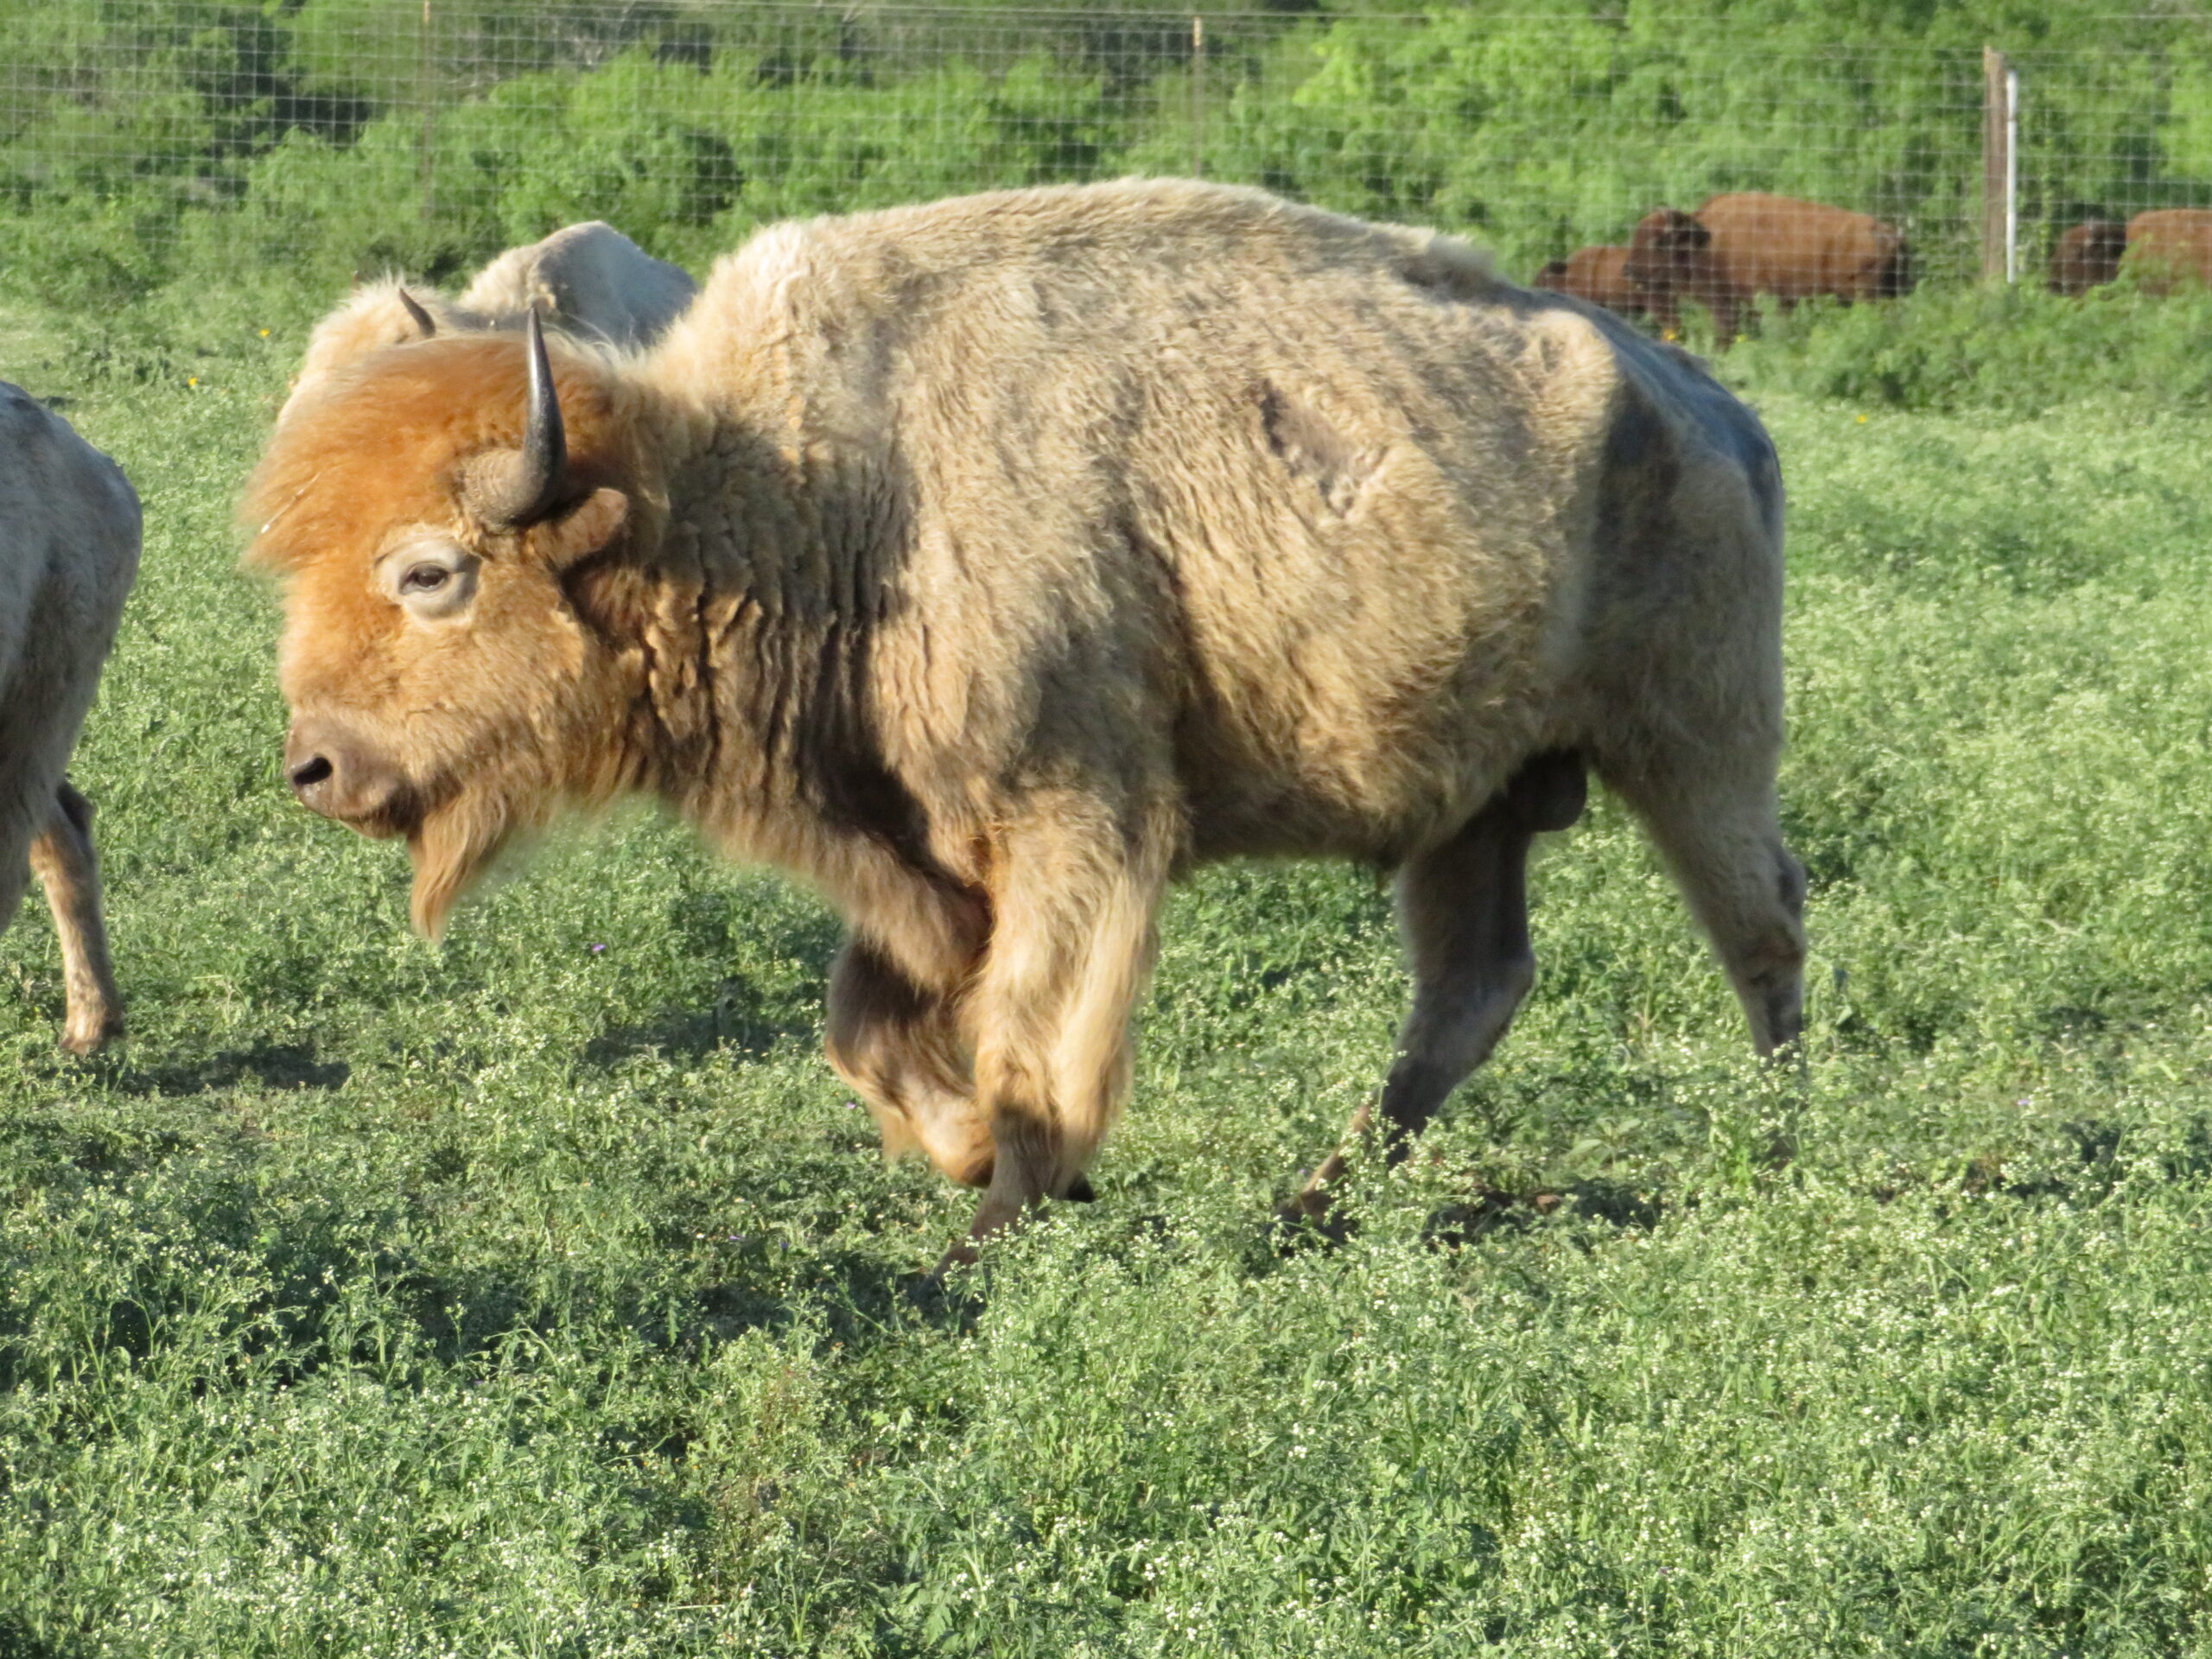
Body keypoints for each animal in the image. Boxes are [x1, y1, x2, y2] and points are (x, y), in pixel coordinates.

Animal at [1628, 190, 1920, 342]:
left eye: (1658, 243)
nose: (1629, 271)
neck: (1708, 240)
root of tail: (1892, 235)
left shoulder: (1735, 300)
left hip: (1867, 297)